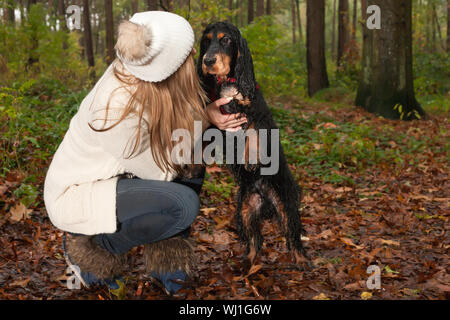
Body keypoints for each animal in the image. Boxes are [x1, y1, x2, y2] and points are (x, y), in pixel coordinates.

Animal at [197, 22, 306, 266]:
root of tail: (264, 197)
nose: (208, 61)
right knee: (256, 240)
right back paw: (247, 263)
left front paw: (250, 159)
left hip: (286, 204)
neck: (228, 83)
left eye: (226, 40)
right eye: (206, 41)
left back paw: (302, 260)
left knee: (293, 235)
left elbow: (252, 132)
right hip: (245, 210)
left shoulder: (257, 112)